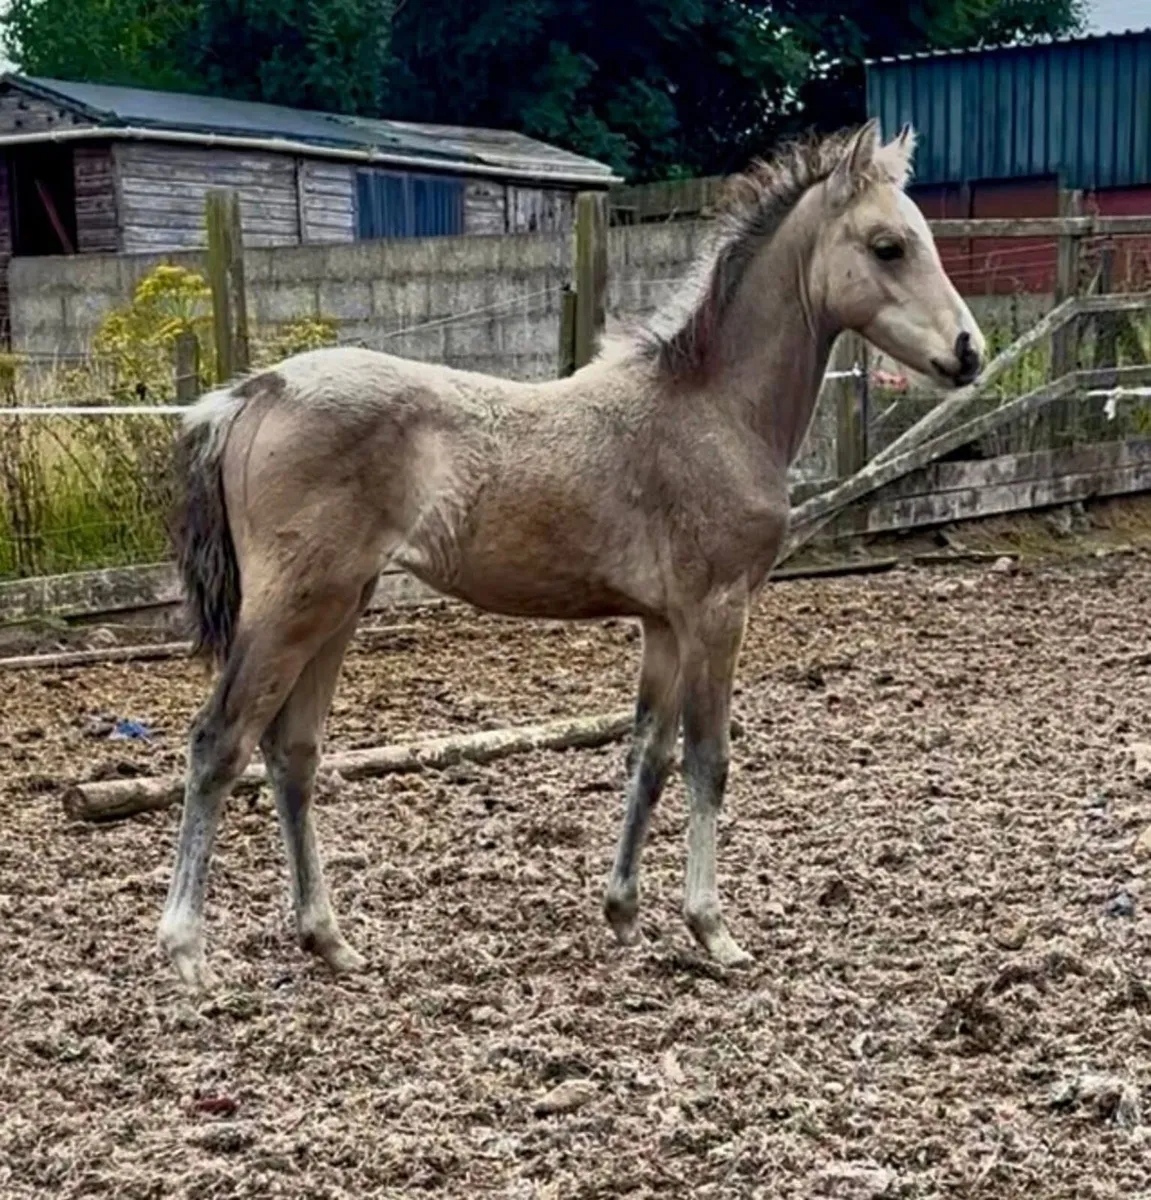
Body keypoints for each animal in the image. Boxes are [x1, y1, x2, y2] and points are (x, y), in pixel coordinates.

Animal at [159, 119, 984, 989]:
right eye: (888, 246)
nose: (968, 351)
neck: (713, 407)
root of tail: (255, 392)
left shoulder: (664, 625)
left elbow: (648, 755)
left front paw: (622, 913)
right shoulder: (717, 611)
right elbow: (709, 759)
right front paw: (711, 929)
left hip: (339, 607)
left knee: (292, 752)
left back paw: (328, 939)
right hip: (293, 605)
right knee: (219, 742)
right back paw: (187, 950)